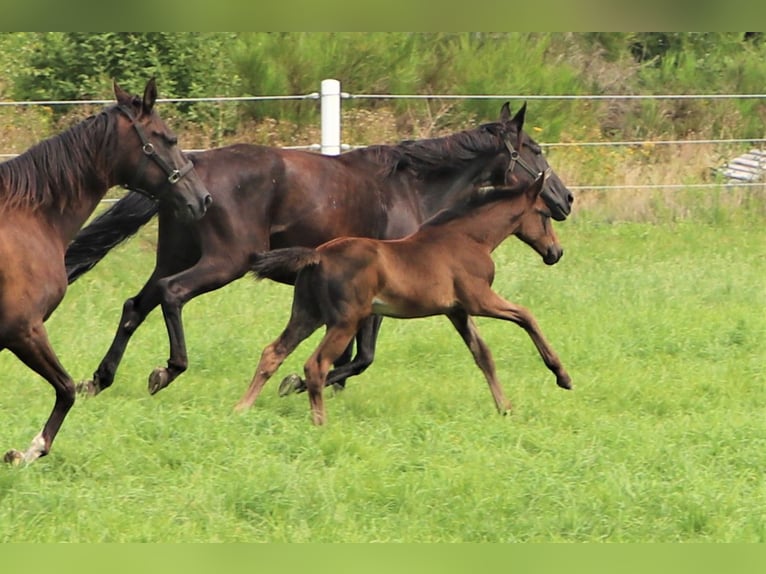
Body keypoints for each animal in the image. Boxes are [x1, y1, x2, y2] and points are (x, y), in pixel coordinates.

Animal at [0, 79, 213, 466]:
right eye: (168, 138)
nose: (202, 198)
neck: (28, 218)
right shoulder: (23, 329)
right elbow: (67, 389)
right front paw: (28, 451)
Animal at [238, 173, 568, 426]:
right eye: (544, 215)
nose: (556, 252)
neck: (469, 239)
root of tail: (318, 255)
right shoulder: (479, 300)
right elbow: (526, 315)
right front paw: (562, 376)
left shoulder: (457, 311)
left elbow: (483, 355)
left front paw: (505, 408)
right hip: (345, 321)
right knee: (316, 365)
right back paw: (320, 422)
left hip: (307, 314)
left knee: (273, 352)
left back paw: (242, 407)